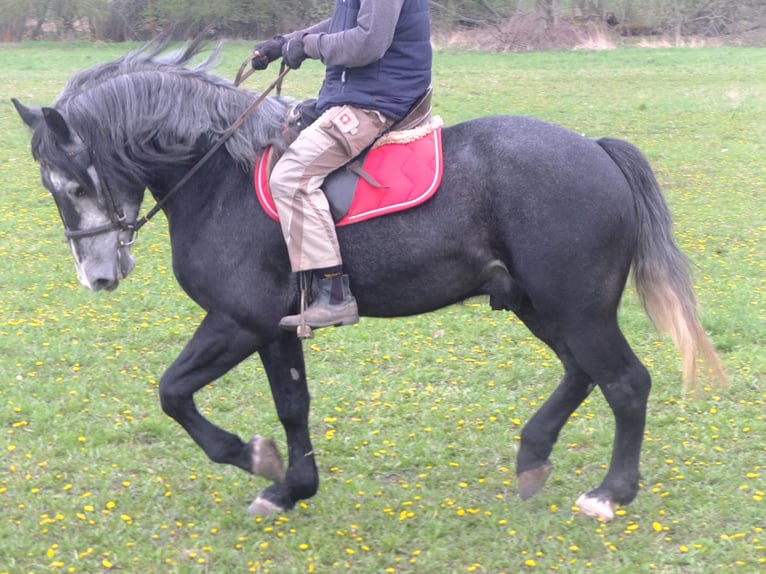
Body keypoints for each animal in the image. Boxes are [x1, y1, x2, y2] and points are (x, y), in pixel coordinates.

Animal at [12, 40, 724, 521]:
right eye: (54, 188)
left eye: (74, 185)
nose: (98, 276)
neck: (220, 173)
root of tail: (596, 148)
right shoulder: (276, 328)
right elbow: (292, 404)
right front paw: (290, 488)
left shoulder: (238, 321)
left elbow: (173, 393)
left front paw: (253, 458)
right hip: (538, 303)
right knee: (583, 373)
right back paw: (533, 456)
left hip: (575, 306)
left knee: (625, 383)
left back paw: (609, 494)